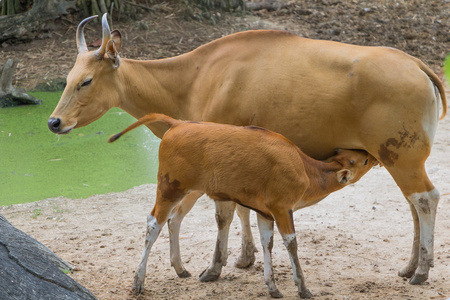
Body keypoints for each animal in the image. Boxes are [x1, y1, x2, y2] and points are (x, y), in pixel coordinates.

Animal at [108, 113, 376, 298]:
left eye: (358, 154)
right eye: (363, 160)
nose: (372, 155)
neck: (305, 170)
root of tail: (178, 124)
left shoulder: (266, 212)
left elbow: (267, 243)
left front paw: (272, 287)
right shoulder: (282, 208)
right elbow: (291, 243)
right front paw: (303, 288)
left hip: (191, 190)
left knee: (174, 220)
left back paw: (181, 268)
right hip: (169, 187)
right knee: (154, 223)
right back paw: (138, 282)